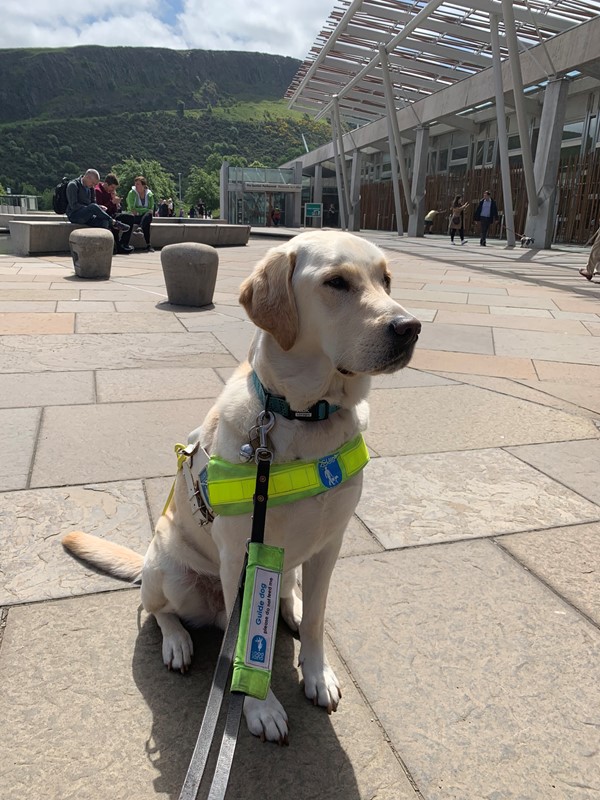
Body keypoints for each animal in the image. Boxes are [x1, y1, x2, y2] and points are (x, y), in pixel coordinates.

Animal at [59, 230, 418, 744]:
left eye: (385, 279)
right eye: (336, 282)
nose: (411, 327)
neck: (306, 417)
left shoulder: (330, 544)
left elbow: (317, 621)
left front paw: (316, 673)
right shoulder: (241, 556)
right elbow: (245, 642)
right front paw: (260, 709)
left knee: (288, 593)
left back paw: (289, 606)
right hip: (170, 574)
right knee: (157, 610)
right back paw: (177, 642)